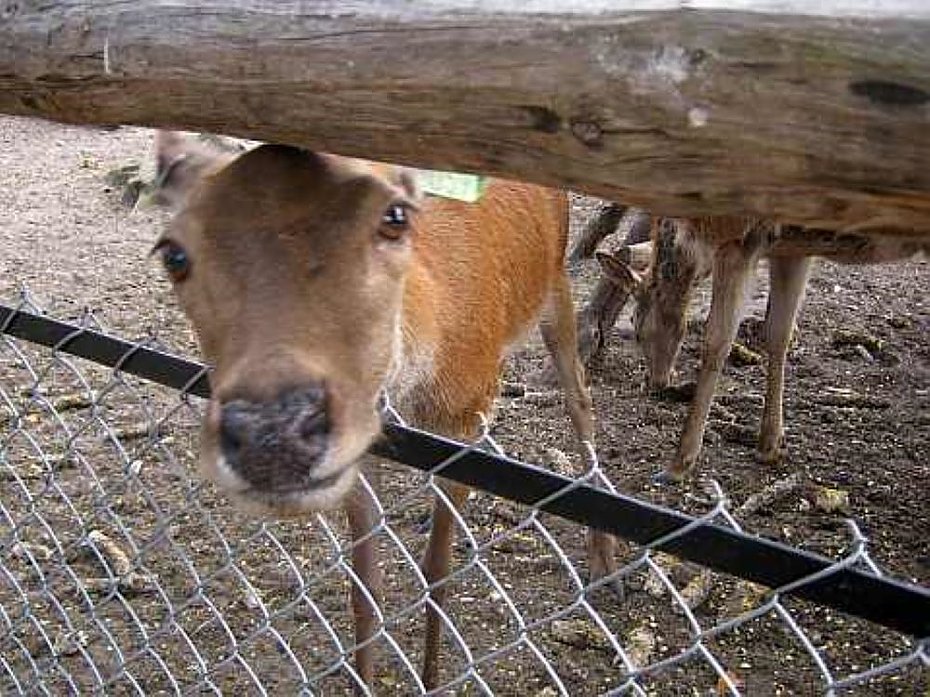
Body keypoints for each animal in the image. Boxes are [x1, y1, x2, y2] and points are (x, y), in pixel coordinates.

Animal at [150, 132, 616, 692]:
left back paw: (604, 562)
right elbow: (364, 584)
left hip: (557, 282)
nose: (272, 435)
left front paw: (432, 679)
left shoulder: (467, 415)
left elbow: (438, 567)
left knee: (581, 401)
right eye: (172, 253)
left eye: (394, 216)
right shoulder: (361, 452)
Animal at [592, 215, 924, 482]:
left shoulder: (738, 241)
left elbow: (717, 341)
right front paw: (770, 444)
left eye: (634, 324)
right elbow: (778, 333)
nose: (656, 381)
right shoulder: (792, 249)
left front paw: (679, 463)